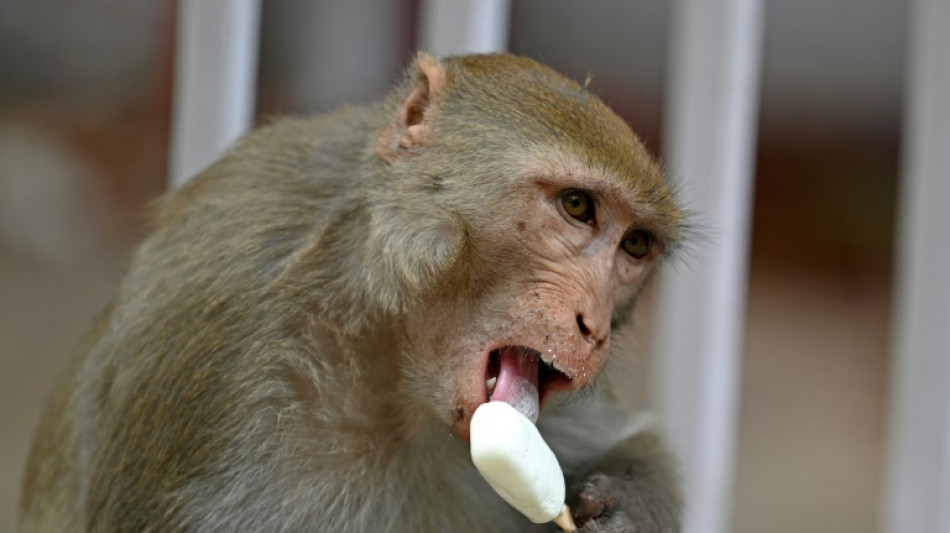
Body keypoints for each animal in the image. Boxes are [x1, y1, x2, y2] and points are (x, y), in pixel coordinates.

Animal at [19, 53, 685, 532]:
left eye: (635, 245)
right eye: (577, 207)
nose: (594, 329)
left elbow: (640, 437)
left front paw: (625, 508)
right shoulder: (205, 347)